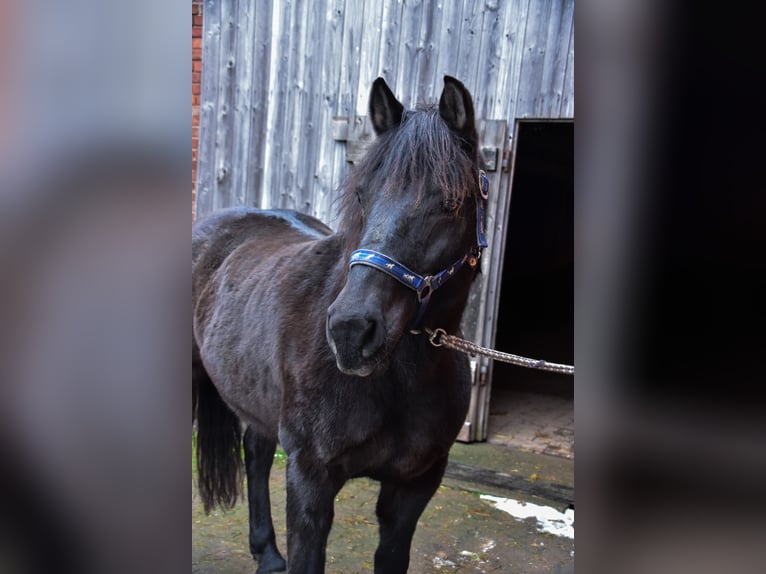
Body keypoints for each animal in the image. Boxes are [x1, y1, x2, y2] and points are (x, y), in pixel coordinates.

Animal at [195, 75, 488, 572]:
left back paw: (267, 554)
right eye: (361, 194)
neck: (401, 380)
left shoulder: (414, 487)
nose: (351, 331)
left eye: (451, 203)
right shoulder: (310, 480)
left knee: (256, 453)